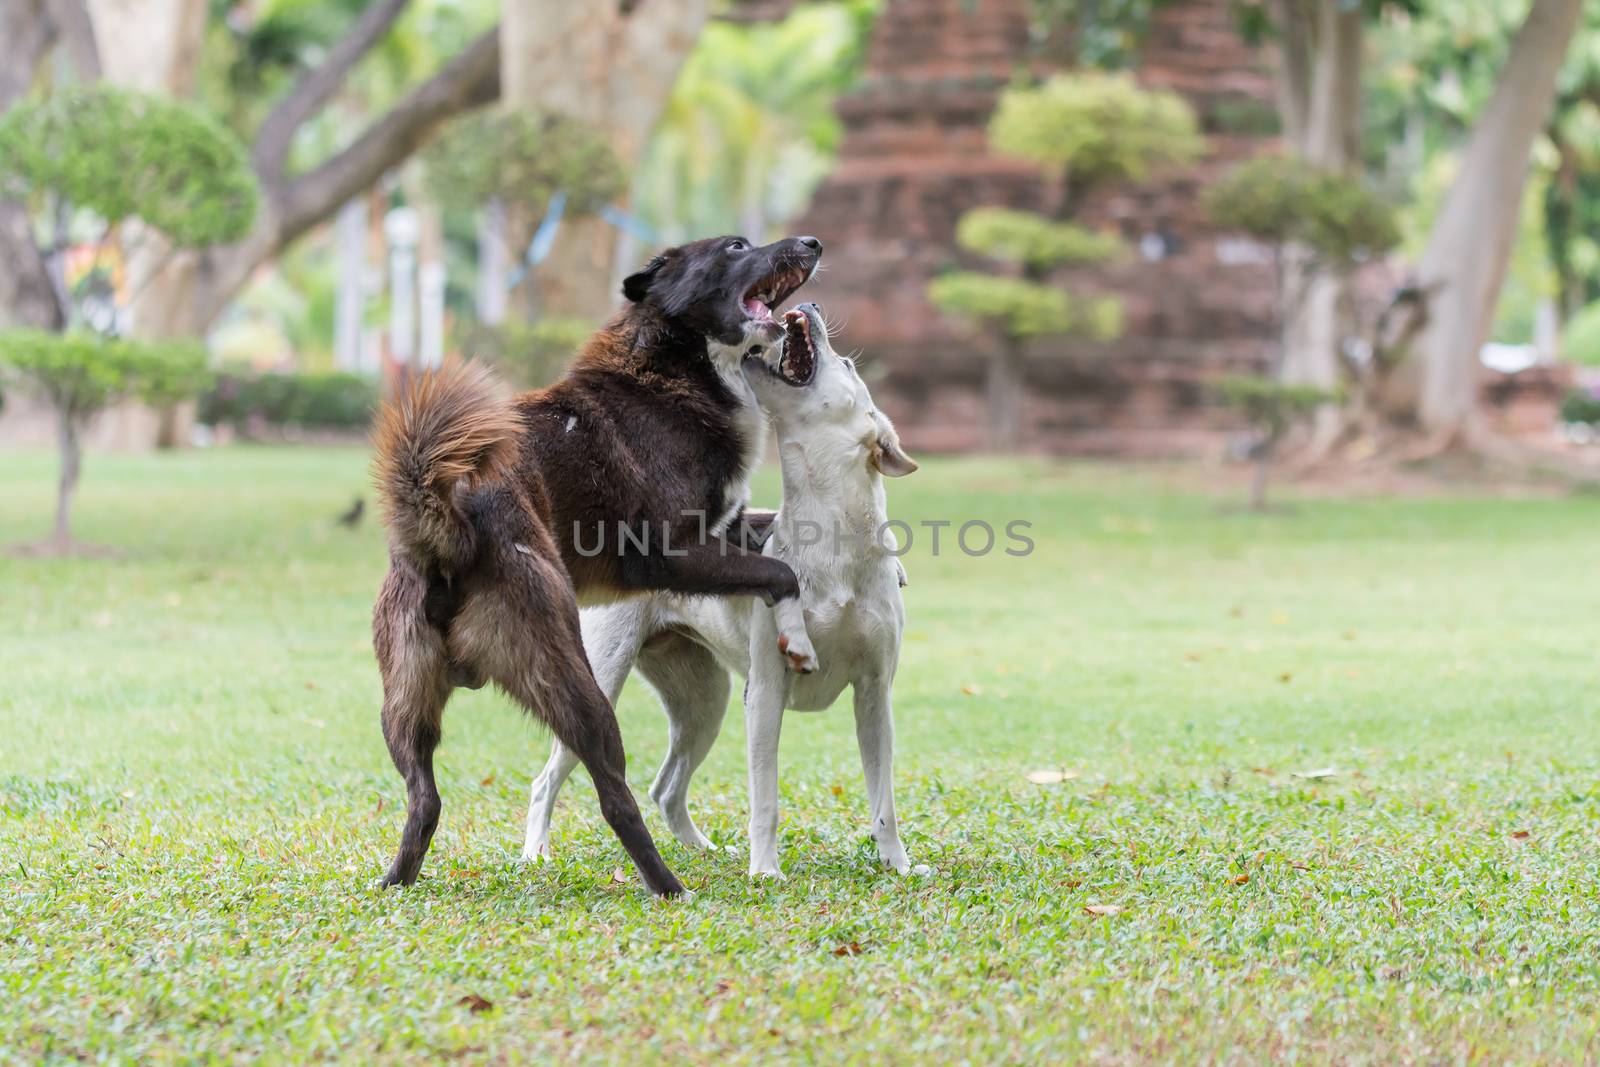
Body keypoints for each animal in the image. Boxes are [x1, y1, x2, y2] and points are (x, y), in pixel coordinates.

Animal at [371, 238, 825, 895]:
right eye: (736, 246)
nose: (812, 243)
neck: (675, 365)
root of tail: (447, 538)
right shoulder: (672, 555)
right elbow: (779, 574)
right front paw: (799, 640)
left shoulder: (723, 529)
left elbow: (773, 538)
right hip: (575, 683)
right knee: (614, 797)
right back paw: (669, 886)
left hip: (404, 704)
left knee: (423, 798)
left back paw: (396, 884)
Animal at [524, 300, 928, 876]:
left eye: (848, 366)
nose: (811, 305)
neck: (832, 538)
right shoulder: (764, 693)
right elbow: (766, 799)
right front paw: (765, 872)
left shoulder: (875, 692)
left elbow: (883, 801)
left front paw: (897, 865)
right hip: (604, 678)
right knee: (548, 779)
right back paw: (535, 852)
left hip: (704, 702)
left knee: (666, 787)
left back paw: (702, 850)